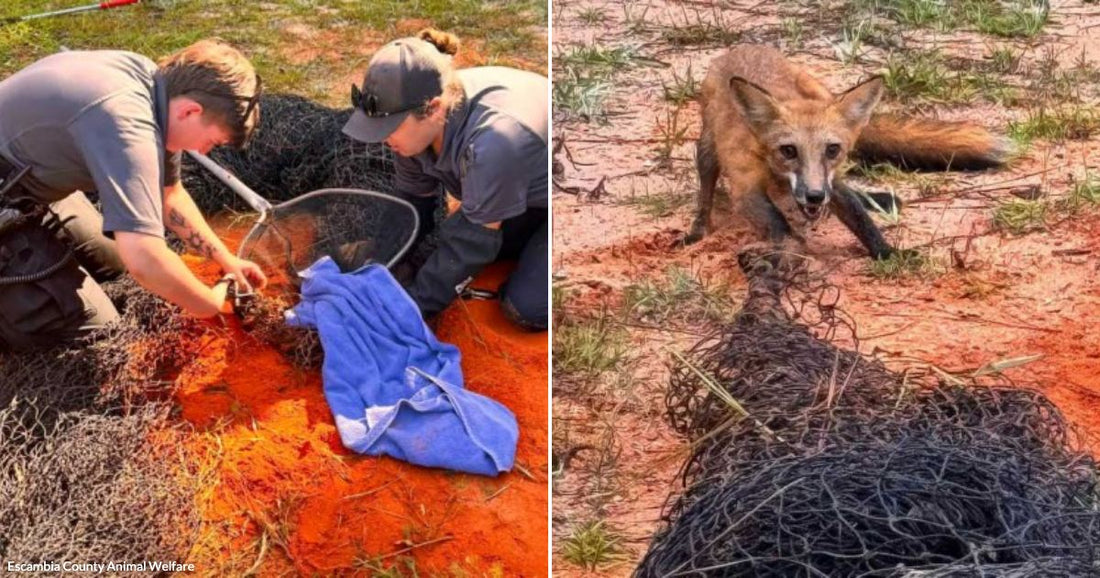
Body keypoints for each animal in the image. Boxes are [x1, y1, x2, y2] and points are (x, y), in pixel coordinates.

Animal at [685, 45, 1013, 259]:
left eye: (833, 150)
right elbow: (778, 224)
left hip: (819, 91)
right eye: (788, 150)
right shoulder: (746, 187)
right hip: (707, 148)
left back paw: (878, 200)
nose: (815, 196)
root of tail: (739, 48)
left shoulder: (832, 182)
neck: (776, 174)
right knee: (705, 194)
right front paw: (793, 251)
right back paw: (696, 232)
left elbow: (860, 218)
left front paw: (888, 254)